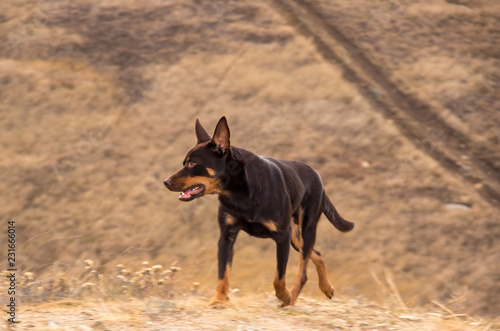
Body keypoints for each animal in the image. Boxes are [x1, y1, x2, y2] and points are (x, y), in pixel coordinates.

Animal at [163, 117, 352, 308]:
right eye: (184, 163)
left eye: (192, 163)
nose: (166, 181)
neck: (240, 193)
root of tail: (317, 176)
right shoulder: (226, 236)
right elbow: (223, 273)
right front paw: (219, 300)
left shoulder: (282, 237)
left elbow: (278, 277)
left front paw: (284, 296)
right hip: (296, 238)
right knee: (317, 254)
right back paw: (327, 288)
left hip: (306, 229)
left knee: (303, 271)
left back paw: (291, 299)